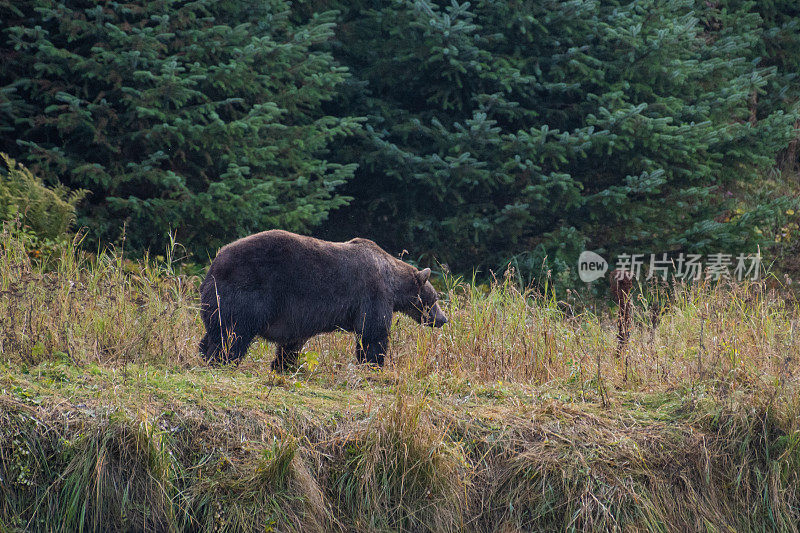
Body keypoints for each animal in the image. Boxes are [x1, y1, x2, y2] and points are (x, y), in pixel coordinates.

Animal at [197, 229, 446, 370]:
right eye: (434, 299)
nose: (443, 319)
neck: (394, 280)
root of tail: (214, 263)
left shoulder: (299, 316)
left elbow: (293, 341)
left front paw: (283, 365)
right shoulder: (374, 292)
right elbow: (373, 332)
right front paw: (374, 364)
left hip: (218, 299)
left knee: (215, 330)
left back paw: (203, 353)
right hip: (246, 290)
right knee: (234, 333)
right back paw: (222, 360)